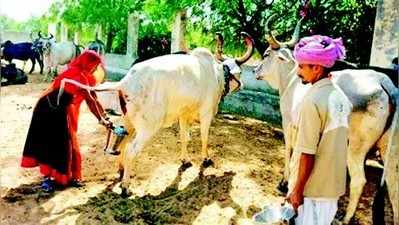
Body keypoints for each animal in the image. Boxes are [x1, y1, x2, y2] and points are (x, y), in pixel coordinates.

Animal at [256, 14, 399, 224]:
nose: (256, 70)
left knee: (359, 180)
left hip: (355, 147)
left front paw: (284, 182)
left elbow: (290, 151)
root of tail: (385, 82)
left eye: (266, 54)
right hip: (389, 148)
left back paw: (346, 218)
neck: (291, 79)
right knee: (393, 184)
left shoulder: (289, 123)